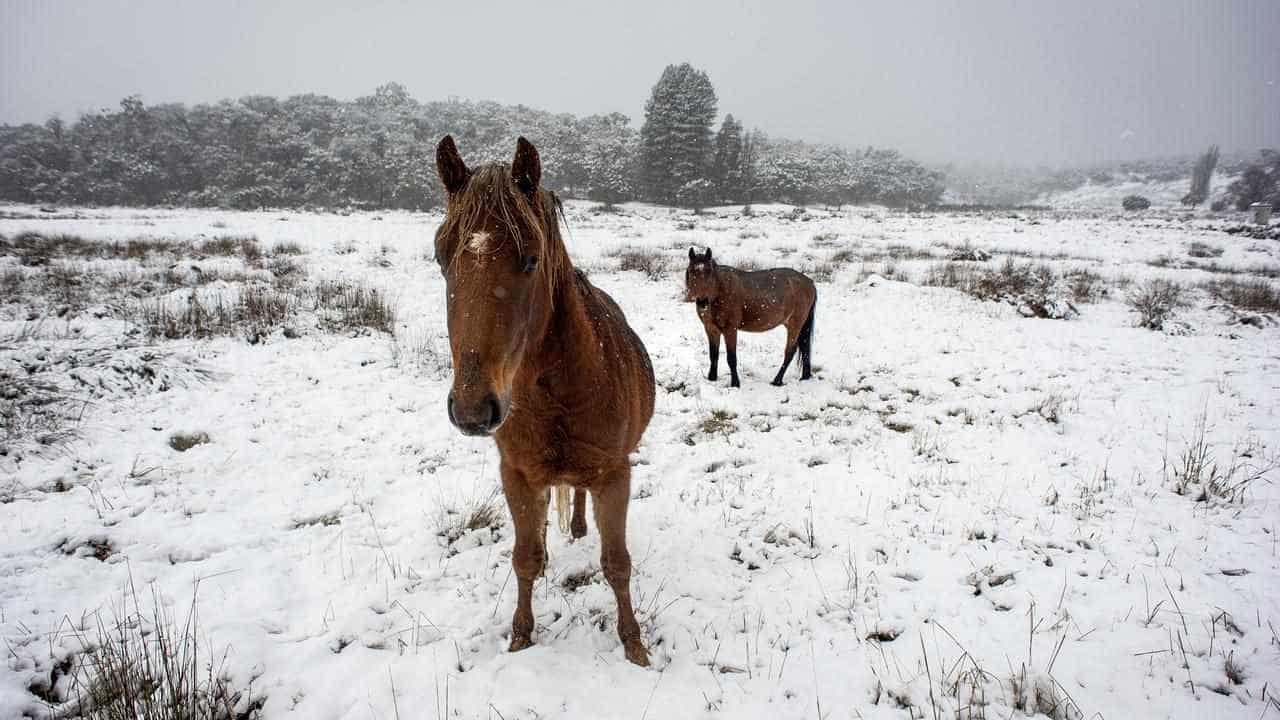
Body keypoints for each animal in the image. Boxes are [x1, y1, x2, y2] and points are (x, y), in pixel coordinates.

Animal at [437, 135, 660, 666]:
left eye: (532, 259)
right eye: (439, 257)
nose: (473, 409)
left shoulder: (614, 475)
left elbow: (616, 564)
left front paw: (634, 645)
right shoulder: (516, 476)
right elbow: (525, 559)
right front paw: (521, 636)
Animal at [686, 249, 814, 389]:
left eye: (709, 272)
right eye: (691, 271)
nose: (702, 302)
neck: (720, 290)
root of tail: (810, 283)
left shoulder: (730, 329)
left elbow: (731, 358)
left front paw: (735, 383)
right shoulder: (711, 329)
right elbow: (713, 355)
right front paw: (712, 378)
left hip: (795, 324)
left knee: (790, 351)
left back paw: (777, 380)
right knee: (804, 346)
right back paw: (805, 376)